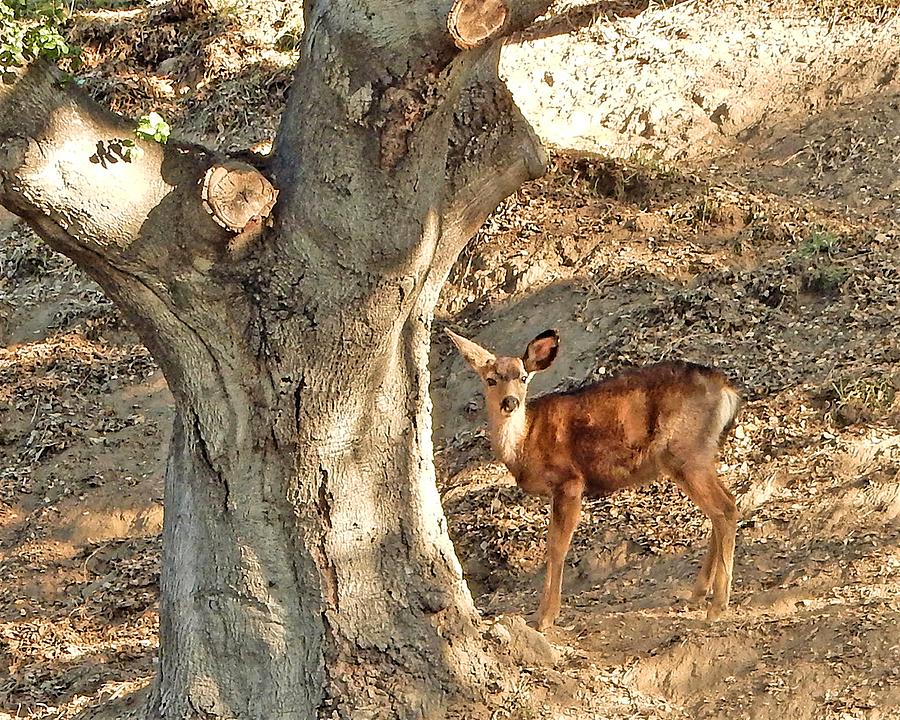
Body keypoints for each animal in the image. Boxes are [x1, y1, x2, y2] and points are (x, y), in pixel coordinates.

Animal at [444, 330, 744, 632]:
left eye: (523, 377)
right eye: (490, 379)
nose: (510, 402)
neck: (525, 443)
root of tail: (728, 391)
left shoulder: (569, 481)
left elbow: (556, 547)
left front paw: (545, 617)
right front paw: (544, 613)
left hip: (684, 453)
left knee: (725, 509)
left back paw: (717, 605)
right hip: (698, 454)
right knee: (725, 506)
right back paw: (698, 594)